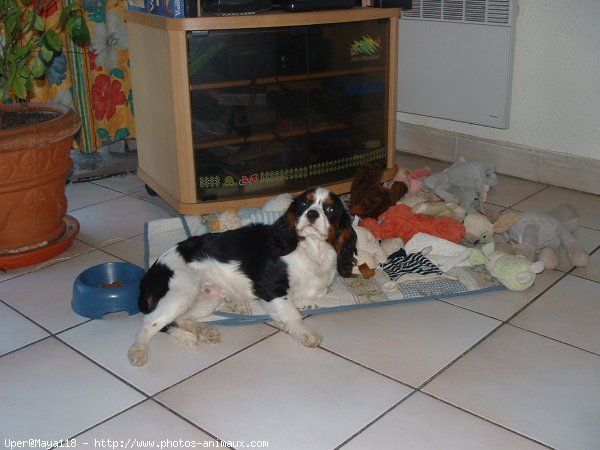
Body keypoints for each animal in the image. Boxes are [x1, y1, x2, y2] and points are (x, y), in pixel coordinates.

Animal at [127, 186, 356, 366]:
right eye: (303, 205)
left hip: (209, 296)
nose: (312, 214)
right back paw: (138, 351)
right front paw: (304, 333)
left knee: (182, 318)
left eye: (330, 209)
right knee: (151, 322)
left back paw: (204, 332)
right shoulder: (269, 287)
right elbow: (292, 313)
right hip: (182, 291)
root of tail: (152, 271)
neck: (310, 248)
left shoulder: (316, 289)